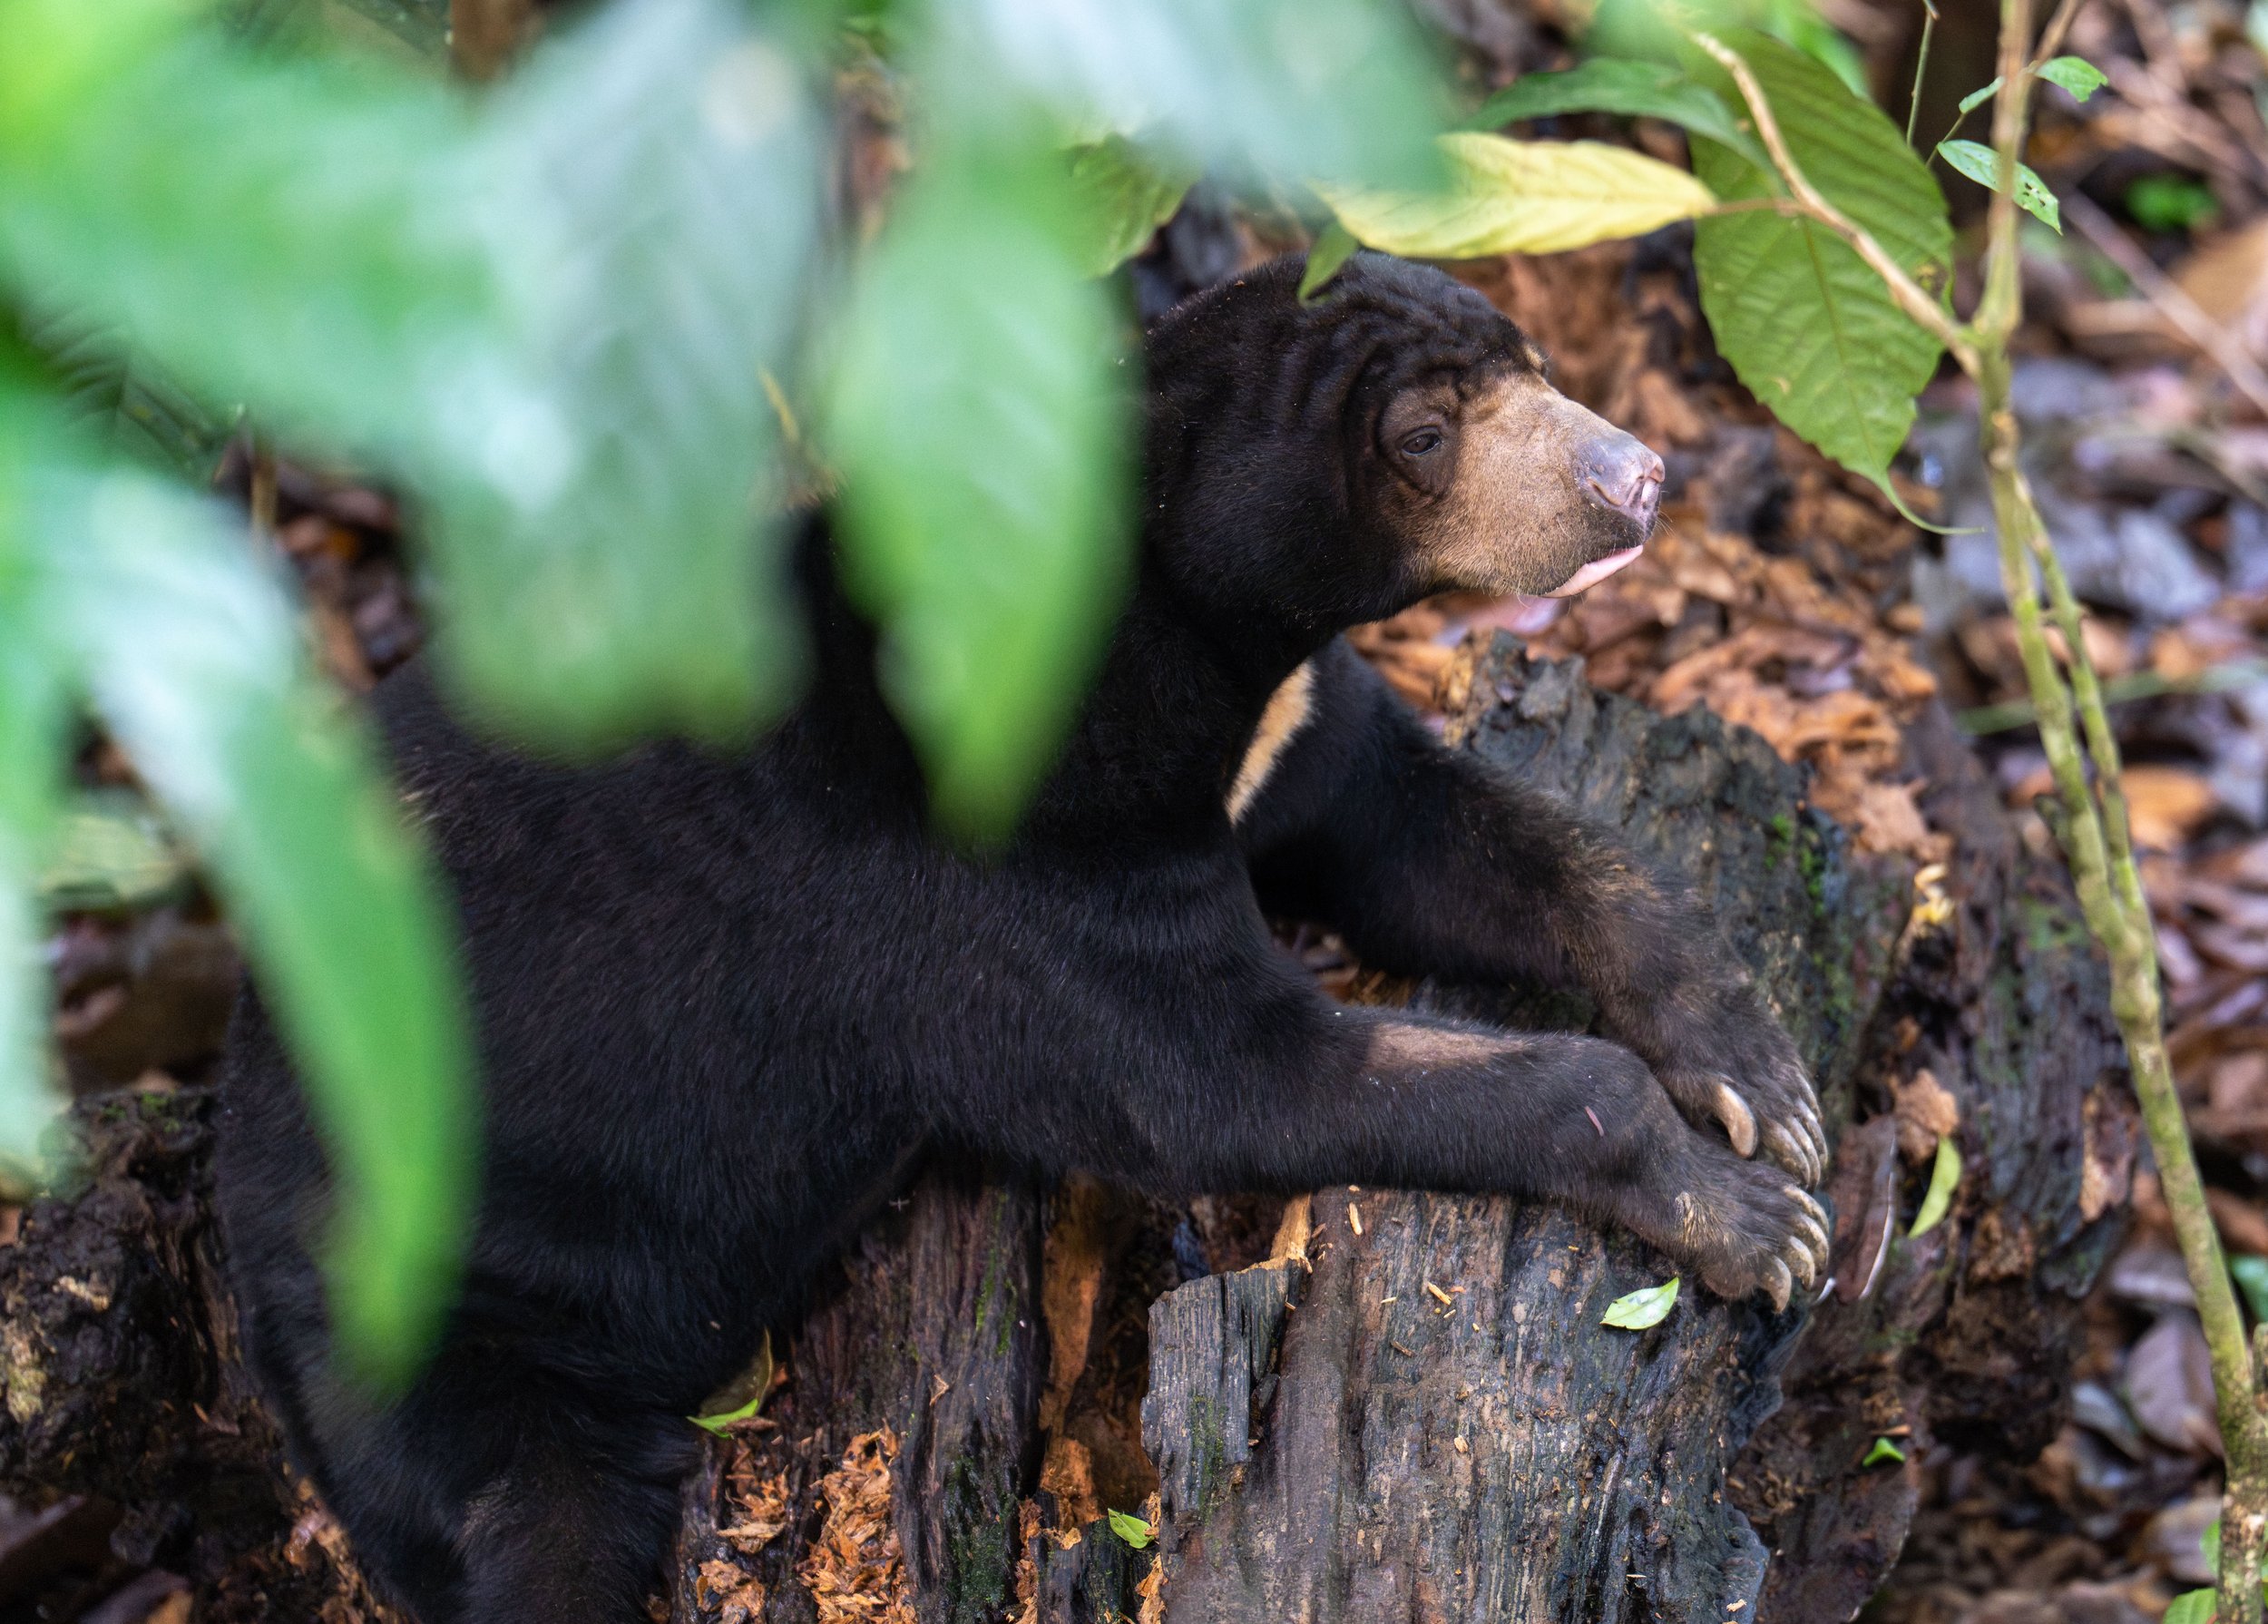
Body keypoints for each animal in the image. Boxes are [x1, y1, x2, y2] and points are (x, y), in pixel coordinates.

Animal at [215, 250, 1830, 1624]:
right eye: (1423, 436)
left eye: (1531, 359)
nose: (1640, 476)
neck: (1180, 656)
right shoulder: (1007, 884)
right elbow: (1224, 1084)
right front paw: (1762, 1223)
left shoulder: (1278, 730)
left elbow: (1469, 836)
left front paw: (1764, 1079)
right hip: (438, 1313)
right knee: (535, 1525)